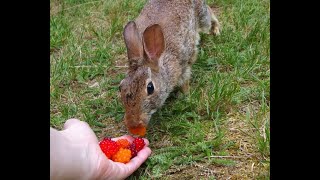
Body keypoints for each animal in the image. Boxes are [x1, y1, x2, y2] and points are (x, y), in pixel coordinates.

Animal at [119, 0, 221, 135]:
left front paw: (185, 96)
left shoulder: (184, 64)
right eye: (120, 87)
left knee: (209, 14)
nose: (133, 125)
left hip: (202, 17)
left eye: (150, 88)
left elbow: (185, 81)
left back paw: (216, 30)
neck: (160, 60)